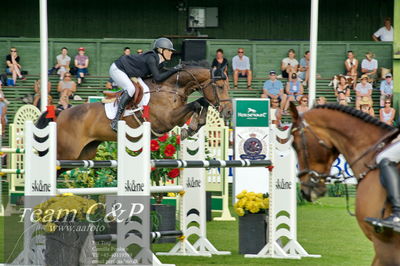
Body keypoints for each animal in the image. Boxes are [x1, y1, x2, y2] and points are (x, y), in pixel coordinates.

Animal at [37, 64, 233, 160]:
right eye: (220, 86)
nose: (229, 112)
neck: (171, 87)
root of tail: (61, 114)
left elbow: (201, 103)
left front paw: (192, 127)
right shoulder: (166, 119)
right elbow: (196, 104)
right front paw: (189, 128)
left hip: (82, 154)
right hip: (66, 153)